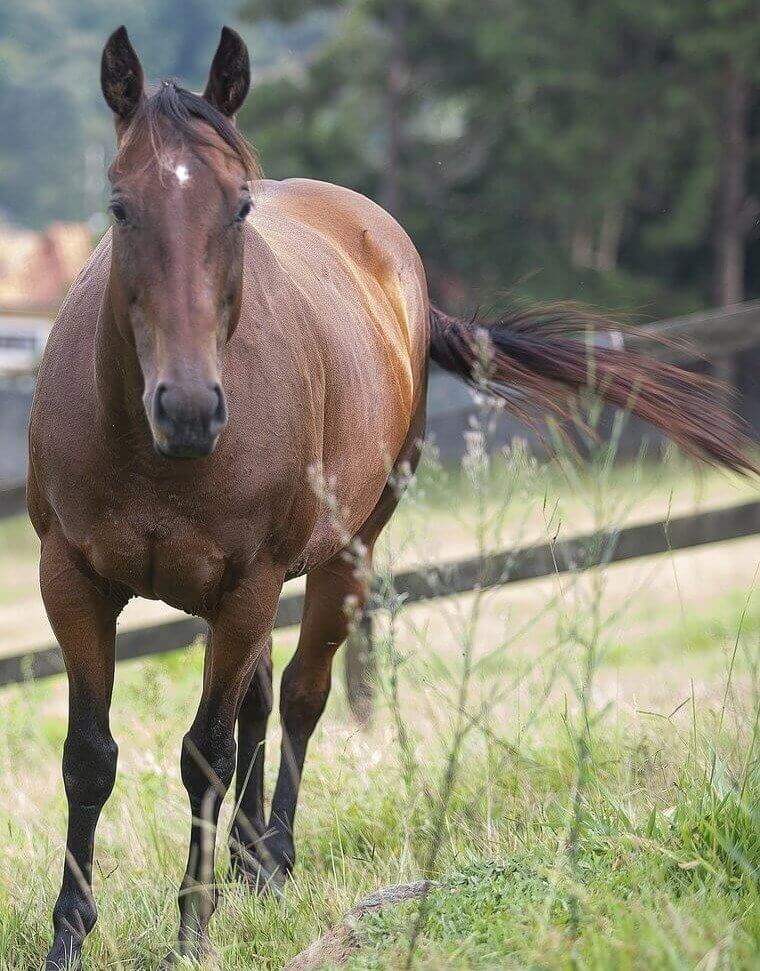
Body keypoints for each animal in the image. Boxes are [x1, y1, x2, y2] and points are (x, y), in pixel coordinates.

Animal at [27, 25, 754, 969]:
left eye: (238, 209)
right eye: (119, 207)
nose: (188, 406)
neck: (154, 453)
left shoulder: (245, 586)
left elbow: (205, 753)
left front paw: (192, 930)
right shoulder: (72, 581)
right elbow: (91, 756)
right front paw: (68, 936)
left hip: (346, 551)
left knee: (300, 694)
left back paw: (273, 859)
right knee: (261, 700)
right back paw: (250, 858)